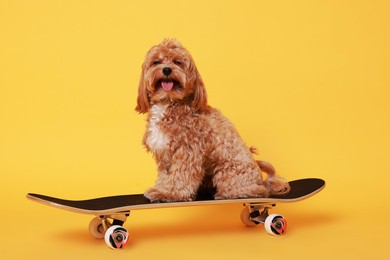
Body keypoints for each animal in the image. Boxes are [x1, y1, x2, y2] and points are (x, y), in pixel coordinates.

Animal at [136, 38, 288, 202]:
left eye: (178, 62)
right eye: (156, 62)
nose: (166, 70)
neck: (168, 103)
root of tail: (262, 182)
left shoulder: (188, 151)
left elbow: (180, 176)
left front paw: (171, 194)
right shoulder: (164, 154)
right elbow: (165, 176)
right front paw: (160, 189)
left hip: (228, 172)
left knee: (251, 190)